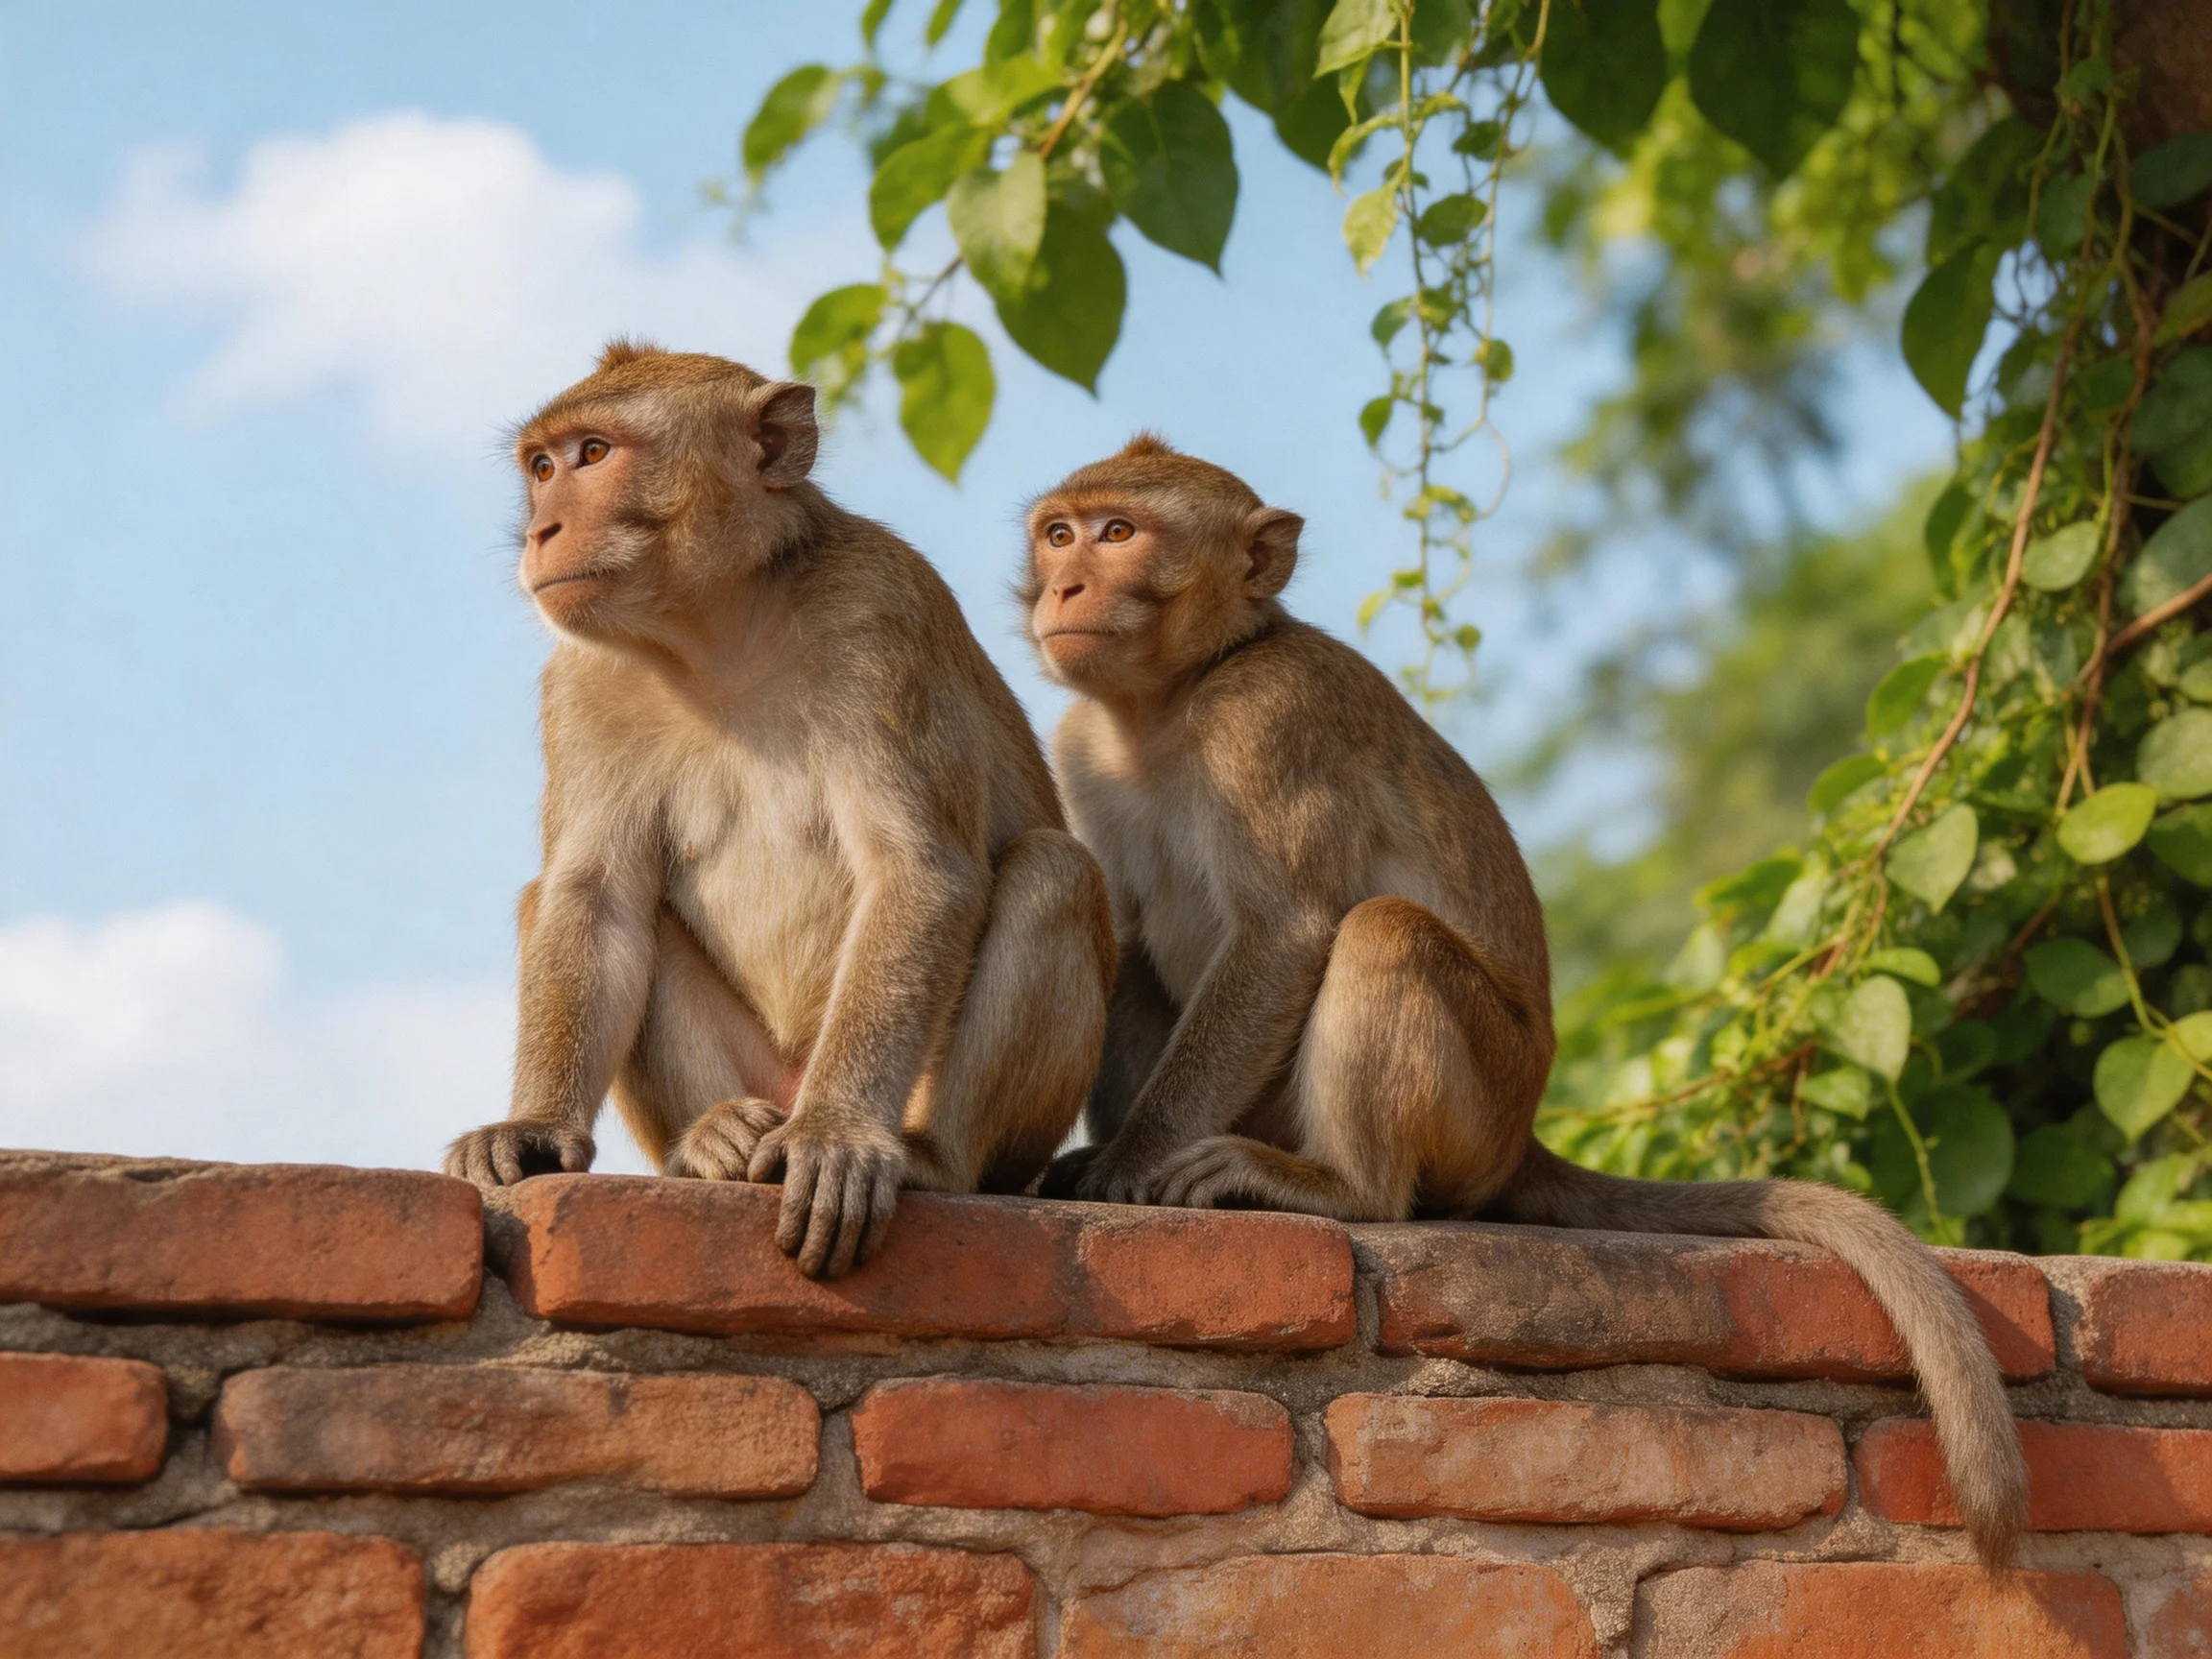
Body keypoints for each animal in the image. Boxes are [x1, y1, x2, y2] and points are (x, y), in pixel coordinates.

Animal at [442, 342, 1115, 1281]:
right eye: (541, 469)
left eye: (593, 455)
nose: (542, 531)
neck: (719, 631)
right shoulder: (581, 681)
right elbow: (592, 899)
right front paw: (535, 1127)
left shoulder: (883, 613)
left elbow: (920, 872)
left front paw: (834, 1137)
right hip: (762, 1074)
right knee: (583, 904)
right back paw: (714, 1139)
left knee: (1053, 872)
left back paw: (923, 1154)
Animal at [1021, 435, 2027, 1564]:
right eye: (1059, 533)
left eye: (1119, 533)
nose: (1063, 585)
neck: (1171, 698)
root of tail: (1521, 1137)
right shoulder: (1082, 745)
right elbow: (1118, 930)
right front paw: (1097, 1156)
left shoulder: (1266, 720)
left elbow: (1287, 932)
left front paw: (1129, 1161)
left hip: (1478, 1101)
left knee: (1383, 933)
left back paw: (1336, 1188)